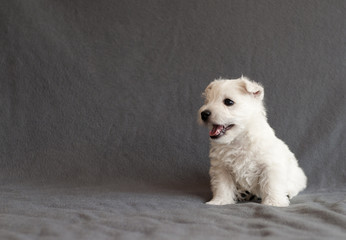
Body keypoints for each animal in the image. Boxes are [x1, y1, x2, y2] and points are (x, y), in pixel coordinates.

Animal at [199, 76, 306, 206]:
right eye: (207, 101)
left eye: (228, 102)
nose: (204, 114)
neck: (238, 139)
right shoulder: (221, 168)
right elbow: (222, 186)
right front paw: (219, 201)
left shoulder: (270, 165)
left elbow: (271, 184)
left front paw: (273, 202)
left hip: (297, 177)